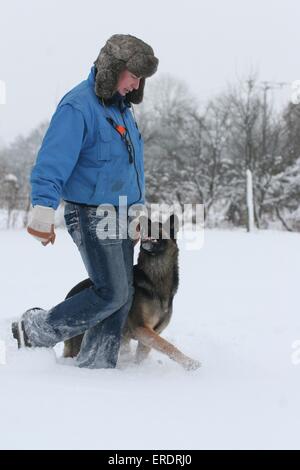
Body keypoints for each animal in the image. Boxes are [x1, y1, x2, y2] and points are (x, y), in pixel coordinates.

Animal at [63, 214, 200, 370]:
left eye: (158, 226)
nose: (144, 224)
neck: (154, 277)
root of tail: (69, 295)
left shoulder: (151, 333)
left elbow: (143, 355)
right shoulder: (141, 328)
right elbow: (167, 345)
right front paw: (189, 362)